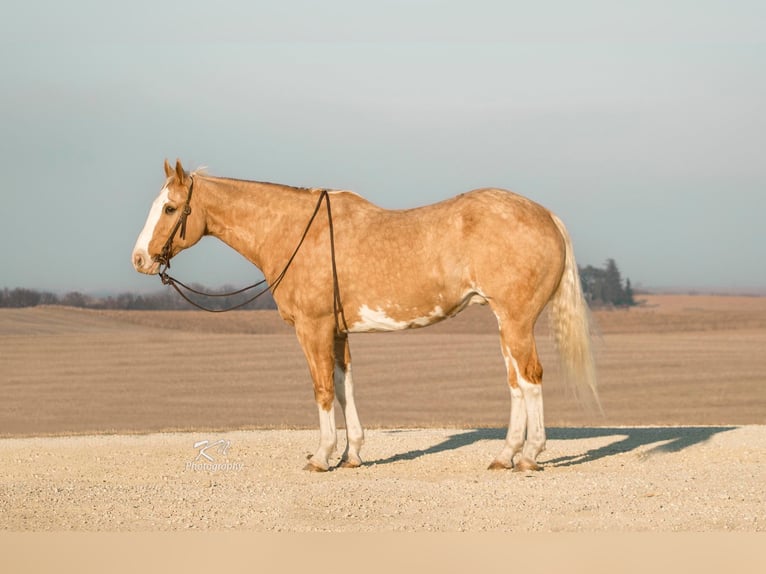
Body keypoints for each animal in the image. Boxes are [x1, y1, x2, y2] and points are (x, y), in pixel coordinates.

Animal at [134, 161, 600, 472]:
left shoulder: (313, 328)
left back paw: (531, 456)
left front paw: (322, 457)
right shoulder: (338, 332)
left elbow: (322, 389)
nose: (139, 259)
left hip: (518, 321)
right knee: (516, 384)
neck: (295, 232)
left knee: (530, 379)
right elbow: (345, 388)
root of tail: (545, 215)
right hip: (505, 324)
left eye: (171, 209)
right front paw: (352, 453)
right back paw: (505, 455)